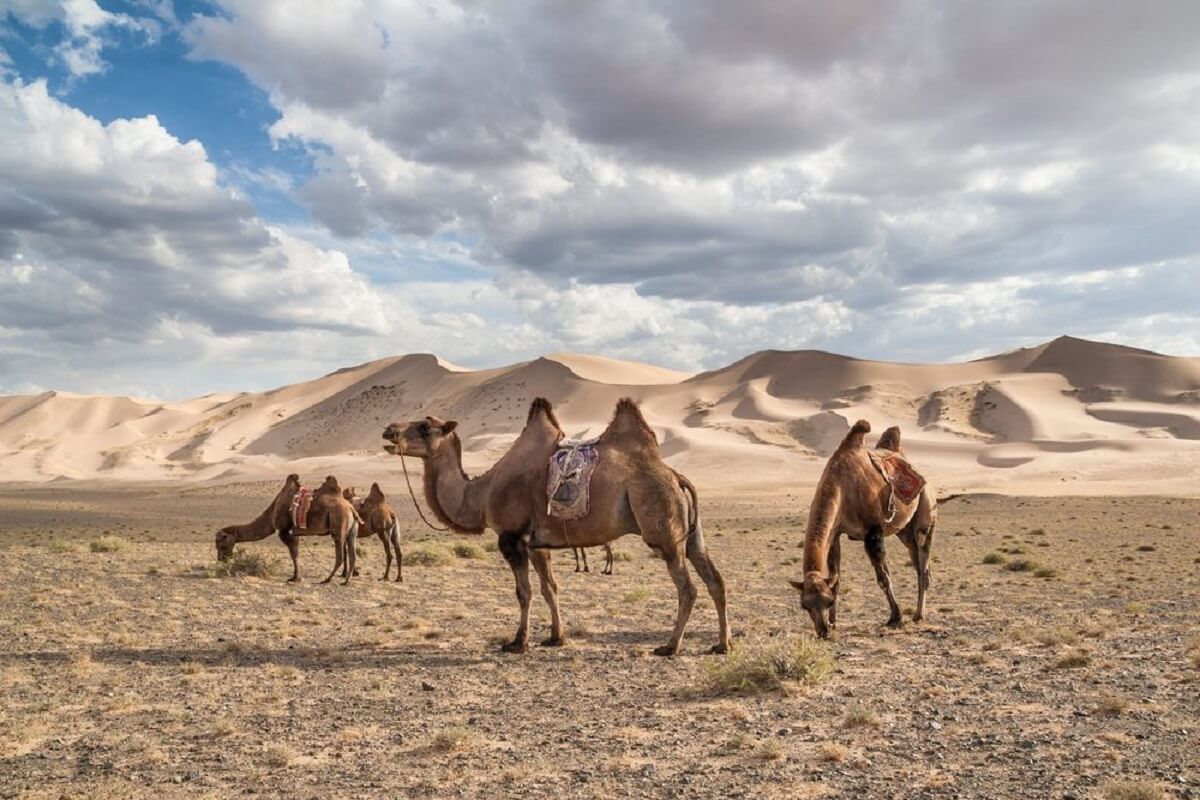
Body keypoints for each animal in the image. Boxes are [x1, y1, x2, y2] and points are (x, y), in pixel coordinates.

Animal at [214, 472, 360, 585]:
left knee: (340, 555)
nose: (221, 559)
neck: (273, 510)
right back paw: (346, 581)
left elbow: (293, 553)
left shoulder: (283, 531)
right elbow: (296, 552)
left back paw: (326, 579)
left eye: (221, 542)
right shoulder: (295, 533)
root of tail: (350, 508)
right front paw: (296, 577)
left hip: (338, 523)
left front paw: (295, 578)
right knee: (352, 554)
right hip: (351, 531)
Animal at [381, 395, 729, 657]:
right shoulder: (538, 543)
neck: (479, 493)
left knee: (688, 588)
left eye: (425, 426)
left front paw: (517, 642)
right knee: (715, 580)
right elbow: (550, 588)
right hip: (692, 534)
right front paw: (555, 637)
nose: (388, 430)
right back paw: (721, 644)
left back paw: (670, 647)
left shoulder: (511, 537)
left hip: (663, 530)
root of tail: (675, 476)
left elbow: (524, 592)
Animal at [787, 419, 936, 638]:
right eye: (805, 605)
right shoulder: (835, 534)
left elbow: (883, 577)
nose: (822, 631)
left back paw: (918, 615)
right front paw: (833, 622)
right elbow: (836, 579)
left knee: (923, 560)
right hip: (904, 532)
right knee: (917, 562)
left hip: (926, 511)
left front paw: (895, 617)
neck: (841, 487)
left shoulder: (873, 532)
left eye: (827, 601)